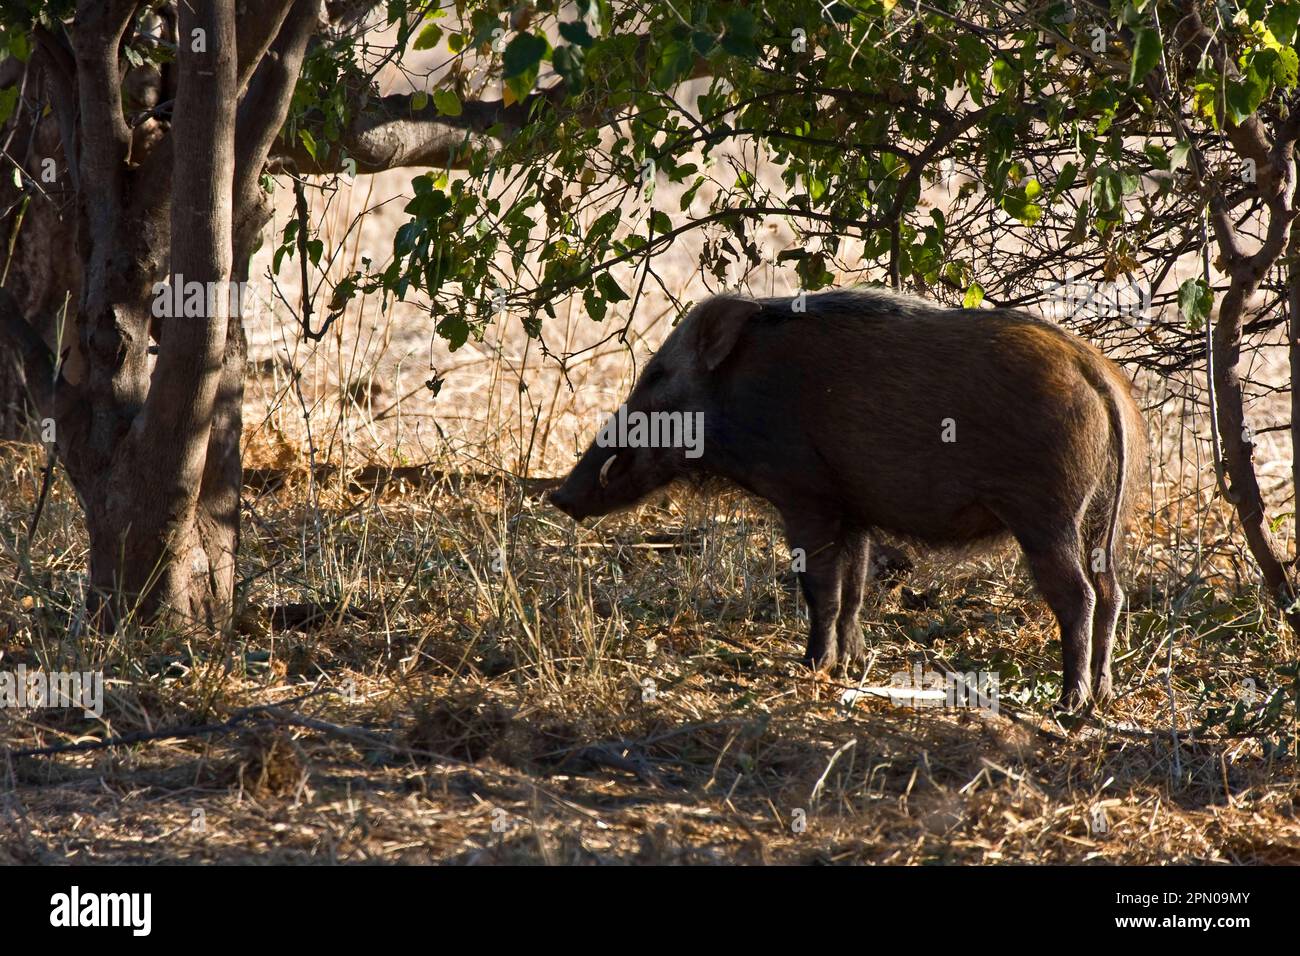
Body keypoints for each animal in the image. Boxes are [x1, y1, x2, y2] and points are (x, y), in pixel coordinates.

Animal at [550, 288, 1146, 708]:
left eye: (657, 375)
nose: (560, 496)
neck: (742, 393)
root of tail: (1100, 378)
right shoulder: (853, 510)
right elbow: (855, 586)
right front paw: (852, 664)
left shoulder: (804, 497)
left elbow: (821, 587)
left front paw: (812, 666)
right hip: (1097, 520)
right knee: (1112, 592)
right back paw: (1103, 694)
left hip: (1047, 518)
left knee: (1078, 596)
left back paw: (1071, 702)